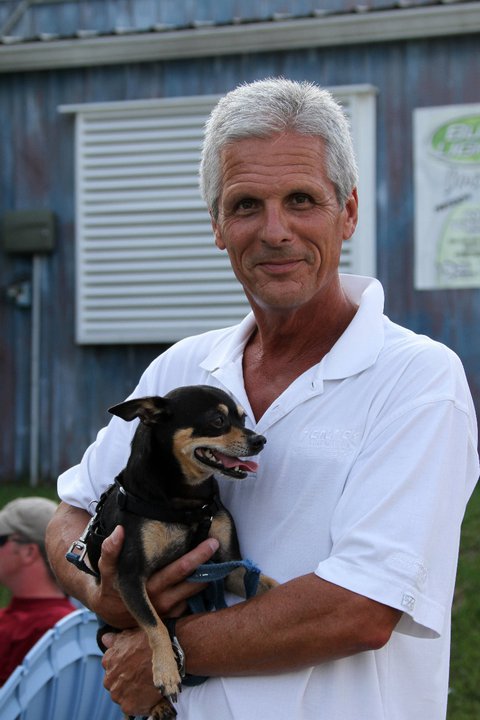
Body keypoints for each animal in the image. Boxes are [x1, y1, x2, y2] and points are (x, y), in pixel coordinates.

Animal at [75, 385, 277, 720]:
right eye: (218, 420)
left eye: (243, 418)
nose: (259, 440)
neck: (187, 505)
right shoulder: (129, 578)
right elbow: (154, 624)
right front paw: (166, 672)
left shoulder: (228, 567)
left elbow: (266, 584)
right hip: (105, 634)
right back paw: (158, 704)